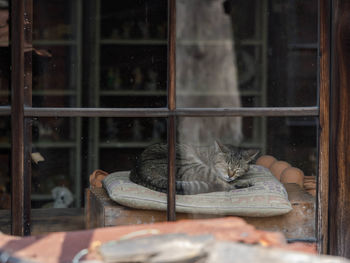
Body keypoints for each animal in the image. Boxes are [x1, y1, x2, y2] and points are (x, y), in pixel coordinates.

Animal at [130, 142, 258, 196]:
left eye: (238, 169)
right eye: (225, 165)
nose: (230, 175)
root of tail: (139, 170)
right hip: (194, 165)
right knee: (224, 186)